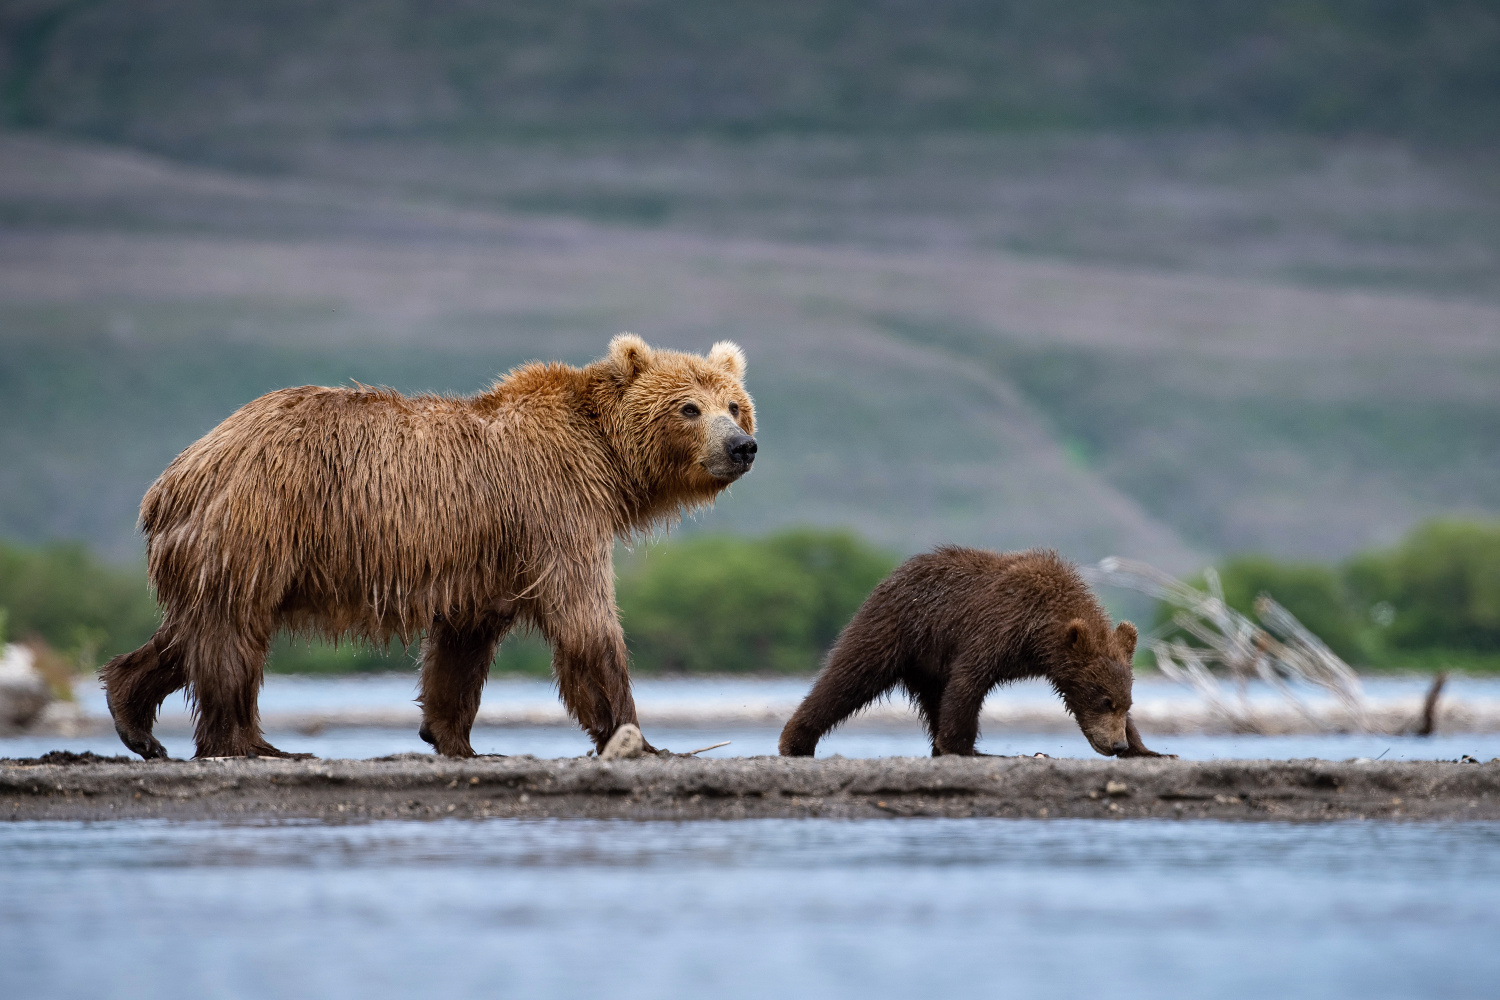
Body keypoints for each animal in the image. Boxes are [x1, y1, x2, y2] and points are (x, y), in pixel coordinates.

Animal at [104, 335, 756, 758]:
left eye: (734, 404)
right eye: (689, 407)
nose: (742, 445)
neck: (605, 456)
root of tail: (180, 472)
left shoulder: (488, 557)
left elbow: (462, 646)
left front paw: (454, 737)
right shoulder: (555, 509)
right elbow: (585, 620)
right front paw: (635, 734)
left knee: (191, 629)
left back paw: (135, 718)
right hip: (262, 519)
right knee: (230, 632)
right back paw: (251, 744)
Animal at [786, 548, 1170, 758]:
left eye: (1125, 703)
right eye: (1104, 700)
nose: (1117, 745)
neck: (1040, 634)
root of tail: (892, 575)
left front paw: (1149, 750)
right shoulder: (997, 626)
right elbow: (968, 683)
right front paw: (965, 746)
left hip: (927, 660)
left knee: (932, 698)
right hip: (896, 628)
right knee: (849, 676)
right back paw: (795, 740)